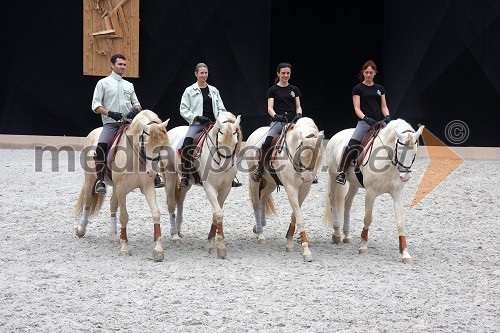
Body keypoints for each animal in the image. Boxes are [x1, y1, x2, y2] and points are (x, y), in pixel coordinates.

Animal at [75, 110, 170, 260]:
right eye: (145, 144)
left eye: (161, 146)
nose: (152, 172)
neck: (135, 158)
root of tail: (93, 133)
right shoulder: (121, 189)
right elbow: (124, 217)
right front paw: (125, 248)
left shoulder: (148, 188)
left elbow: (156, 213)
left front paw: (158, 249)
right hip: (90, 179)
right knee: (87, 202)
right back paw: (81, 229)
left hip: (114, 187)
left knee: (113, 205)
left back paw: (114, 236)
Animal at [163, 111, 241, 256]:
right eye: (219, 142)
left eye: (235, 142)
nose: (225, 167)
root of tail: (172, 131)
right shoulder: (209, 187)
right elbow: (218, 213)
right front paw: (220, 247)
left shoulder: (225, 189)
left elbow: (216, 213)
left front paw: (211, 242)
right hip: (170, 175)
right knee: (171, 203)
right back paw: (174, 235)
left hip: (187, 182)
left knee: (180, 199)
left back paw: (178, 230)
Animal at [246, 118, 324, 260]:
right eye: (302, 155)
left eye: (318, 156)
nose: (307, 177)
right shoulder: (291, 188)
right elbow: (299, 218)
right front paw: (306, 251)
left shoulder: (304, 189)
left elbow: (295, 215)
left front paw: (289, 243)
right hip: (254, 179)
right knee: (256, 203)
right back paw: (260, 235)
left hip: (271, 182)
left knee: (263, 198)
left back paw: (259, 226)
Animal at [322, 118, 424, 262]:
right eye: (400, 152)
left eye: (414, 152)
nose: (405, 177)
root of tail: (336, 135)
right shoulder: (371, 193)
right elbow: (367, 218)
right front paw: (363, 246)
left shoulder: (397, 193)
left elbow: (400, 222)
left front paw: (405, 253)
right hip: (332, 176)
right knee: (333, 200)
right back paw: (336, 234)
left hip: (354, 184)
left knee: (347, 203)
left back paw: (346, 235)